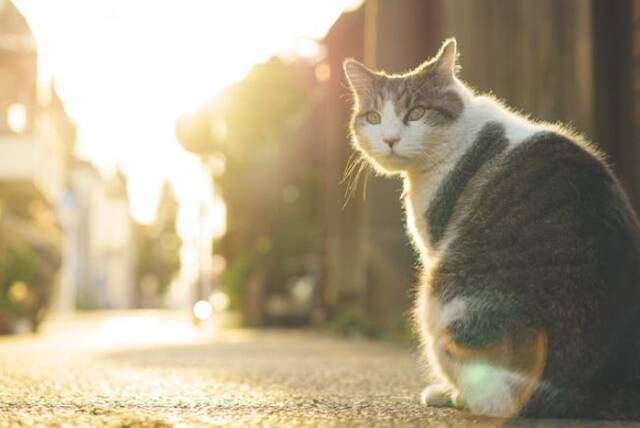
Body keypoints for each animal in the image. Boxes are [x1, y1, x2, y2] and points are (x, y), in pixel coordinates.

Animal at [344, 38, 640, 420]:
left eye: (417, 113)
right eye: (374, 118)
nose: (390, 139)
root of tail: (592, 390)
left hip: (439, 295)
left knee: (494, 396)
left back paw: (453, 395)